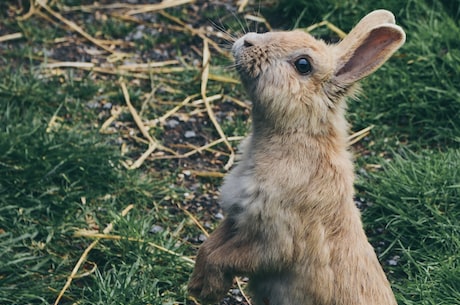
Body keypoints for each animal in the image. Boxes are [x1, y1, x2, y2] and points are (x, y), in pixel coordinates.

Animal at [189, 9, 404, 304]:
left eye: (303, 65)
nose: (247, 41)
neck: (294, 134)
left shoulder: (275, 240)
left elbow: (227, 257)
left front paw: (207, 290)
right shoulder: (236, 218)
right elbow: (209, 246)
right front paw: (197, 285)